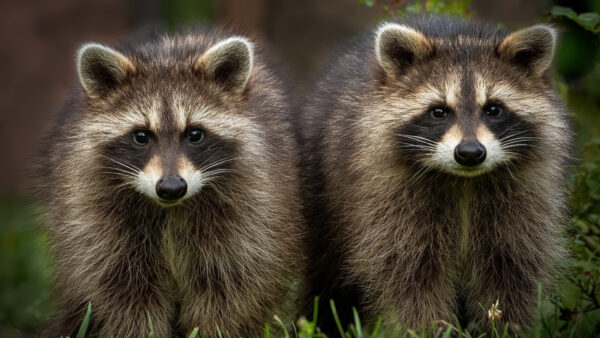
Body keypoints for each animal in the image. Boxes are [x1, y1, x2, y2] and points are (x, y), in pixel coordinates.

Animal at [34, 29, 304, 338]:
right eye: (141, 136)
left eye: (195, 134)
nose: (172, 188)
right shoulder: (95, 212)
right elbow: (122, 288)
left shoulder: (252, 204)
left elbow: (231, 283)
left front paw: (211, 330)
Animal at [302, 16, 576, 332]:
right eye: (439, 111)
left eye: (493, 109)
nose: (470, 153)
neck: (465, 181)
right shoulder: (388, 201)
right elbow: (411, 273)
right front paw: (427, 329)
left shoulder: (523, 200)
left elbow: (510, 267)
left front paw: (503, 327)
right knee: (327, 278)